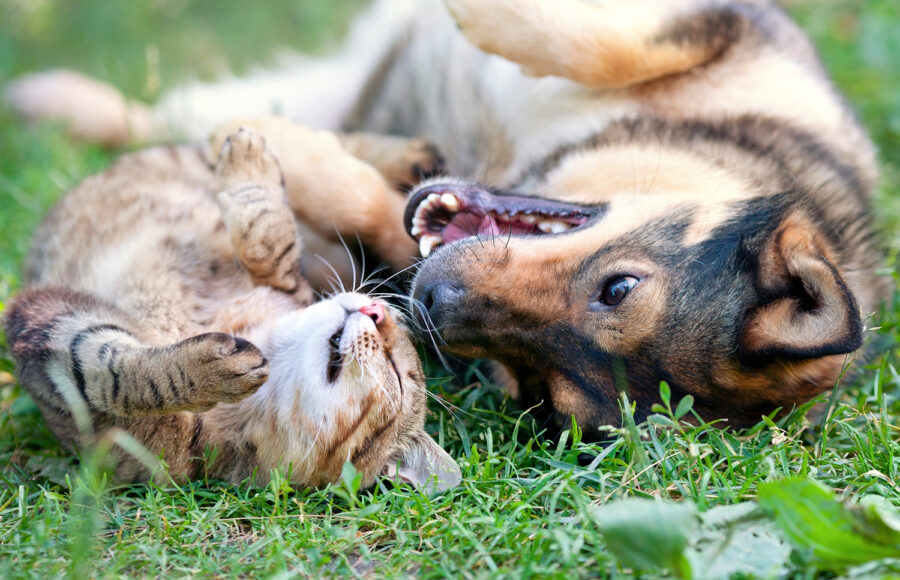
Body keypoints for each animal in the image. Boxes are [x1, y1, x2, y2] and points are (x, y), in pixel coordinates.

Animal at [3, 0, 888, 438]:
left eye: (541, 390)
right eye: (619, 287)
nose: (429, 304)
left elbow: (371, 207)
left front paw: (290, 154)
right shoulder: (727, 26)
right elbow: (606, 41)